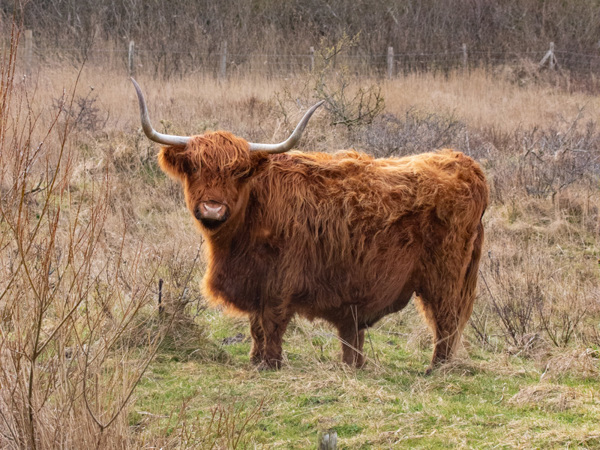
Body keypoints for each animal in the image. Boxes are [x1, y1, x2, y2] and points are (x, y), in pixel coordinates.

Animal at [131, 79, 488, 370]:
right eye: (194, 168)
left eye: (239, 172)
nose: (213, 208)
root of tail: (463, 163)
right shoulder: (254, 279)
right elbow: (255, 325)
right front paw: (255, 359)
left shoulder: (280, 278)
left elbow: (272, 321)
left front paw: (271, 363)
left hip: (445, 277)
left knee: (446, 321)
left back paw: (436, 369)